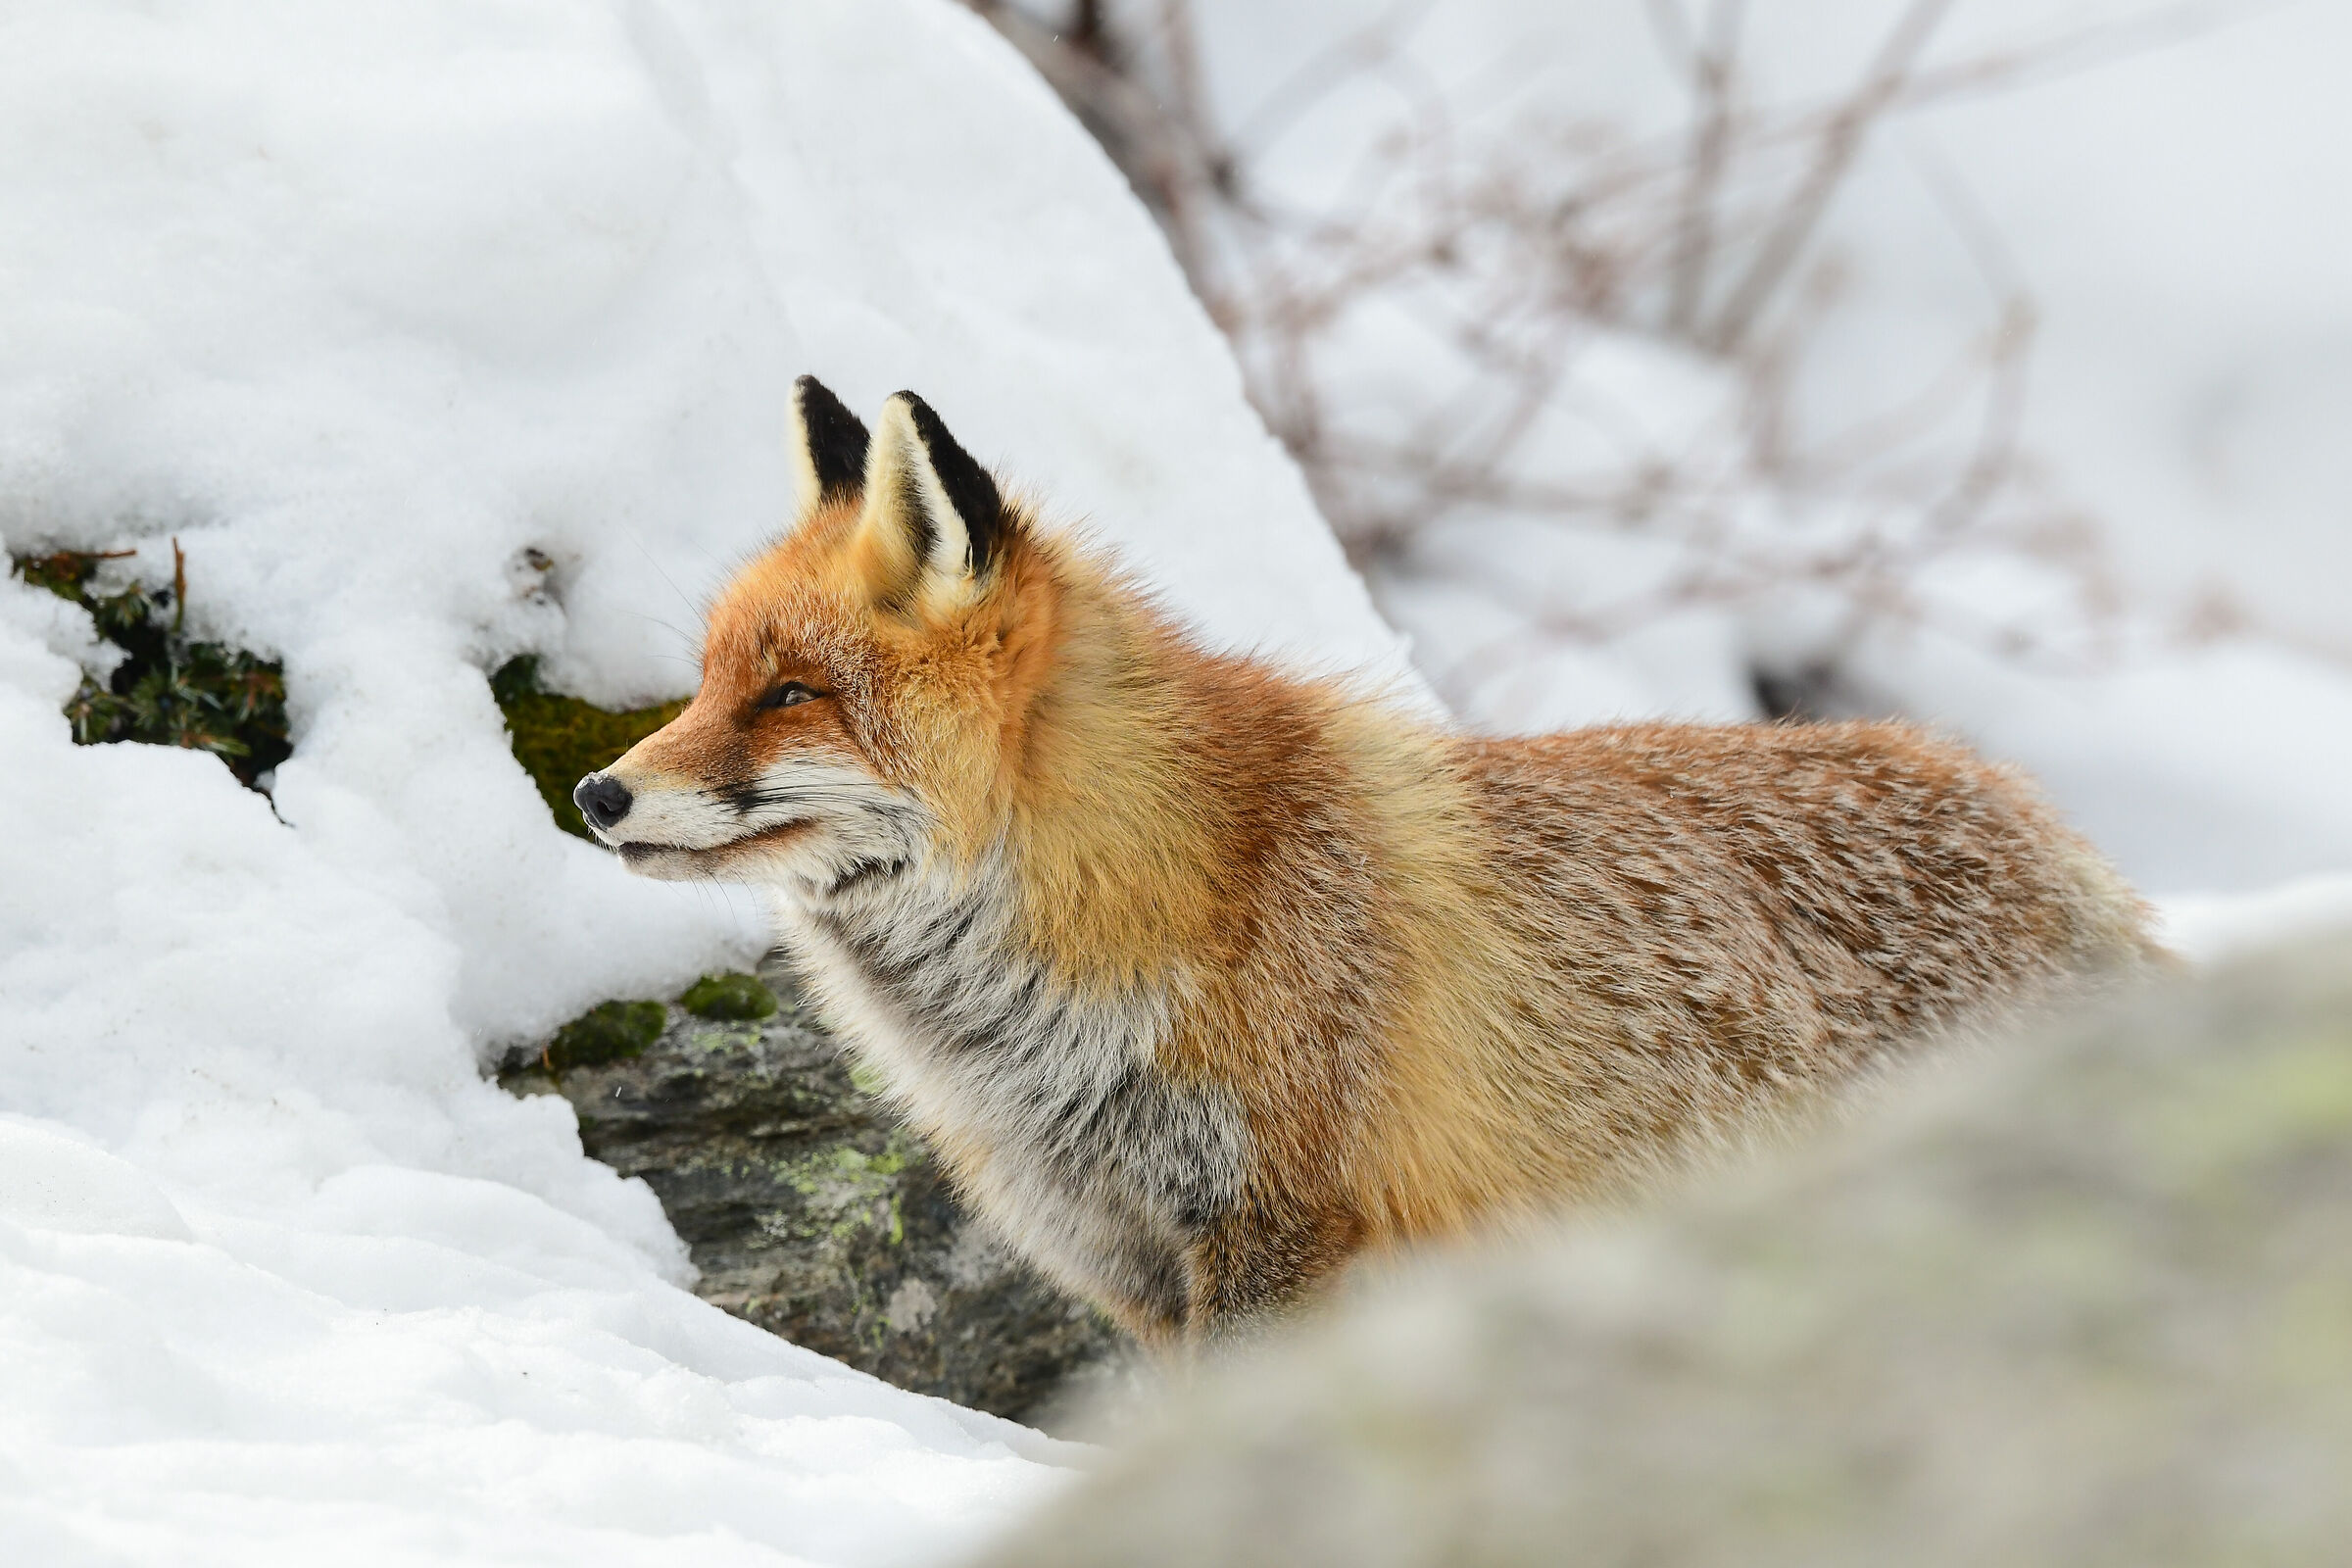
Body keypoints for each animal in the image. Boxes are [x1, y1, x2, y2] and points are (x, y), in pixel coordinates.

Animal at [574, 374, 2160, 1349]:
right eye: (706, 682)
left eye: (792, 695)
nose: (593, 790)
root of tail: (2051, 834)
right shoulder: (1131, 1266)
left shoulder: (1278, 1236)